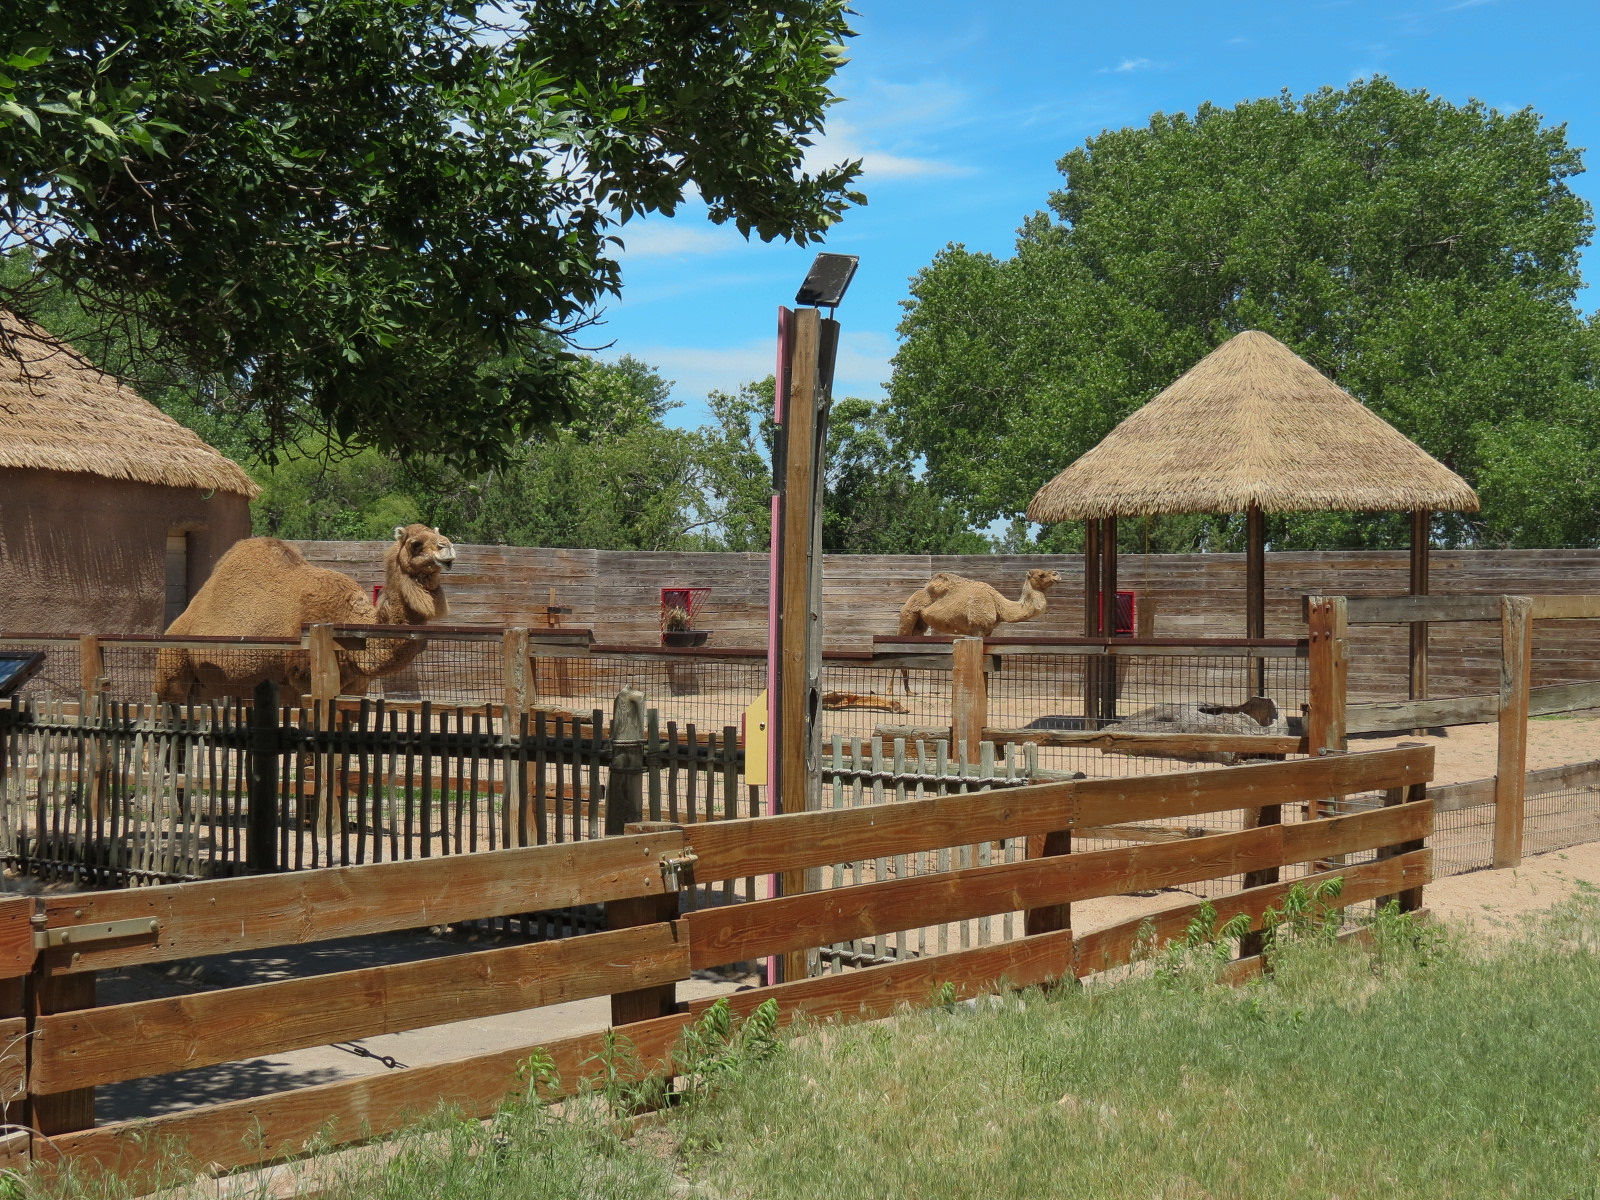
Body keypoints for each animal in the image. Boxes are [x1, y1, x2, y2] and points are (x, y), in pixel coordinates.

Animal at [155, 525, 456, 702]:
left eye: (438, 534)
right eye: (416, 543)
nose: (448, 547)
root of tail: (174, 626)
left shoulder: (357, 688)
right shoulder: (305, 681)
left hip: (212, 687)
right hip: (171, 672)